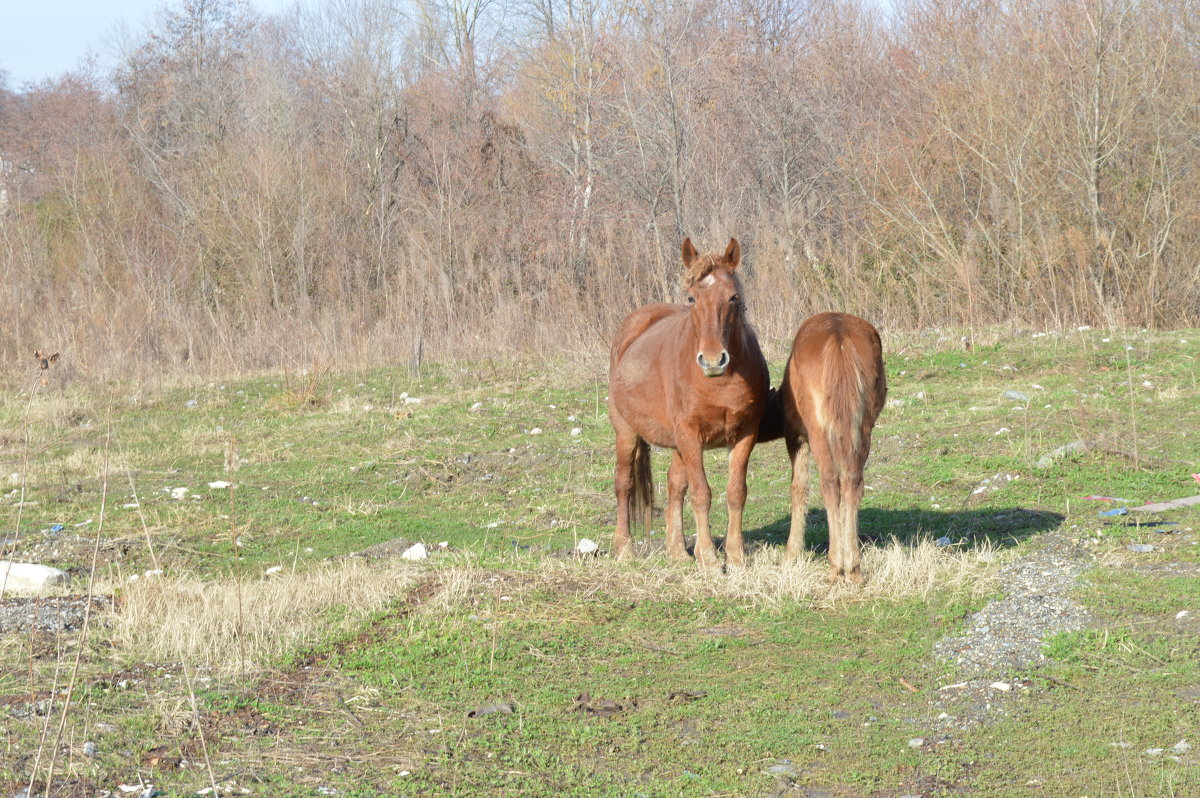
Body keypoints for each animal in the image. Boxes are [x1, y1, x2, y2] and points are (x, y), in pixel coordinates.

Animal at [609, 236, 768, 566]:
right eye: (692, 299)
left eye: (733, 297)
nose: (713, 360)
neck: (720, 382)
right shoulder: (691, 435)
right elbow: (701, 493)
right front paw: (708, 558)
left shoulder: (745, 433)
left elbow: (736, 491)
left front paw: (736, 555)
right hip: (627, 432)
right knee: (624, 483)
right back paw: (625, 548)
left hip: (677, 443)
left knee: (675, 485)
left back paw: (678, 551)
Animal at [763, 314, 888, 583]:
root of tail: (838, 337)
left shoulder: (796, 437)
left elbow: (798, 487)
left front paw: (791, 553)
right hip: (861, 428)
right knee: (852, 481)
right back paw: (854, 567)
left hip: (818, 432)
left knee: (829, 482)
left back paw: (836, 566)